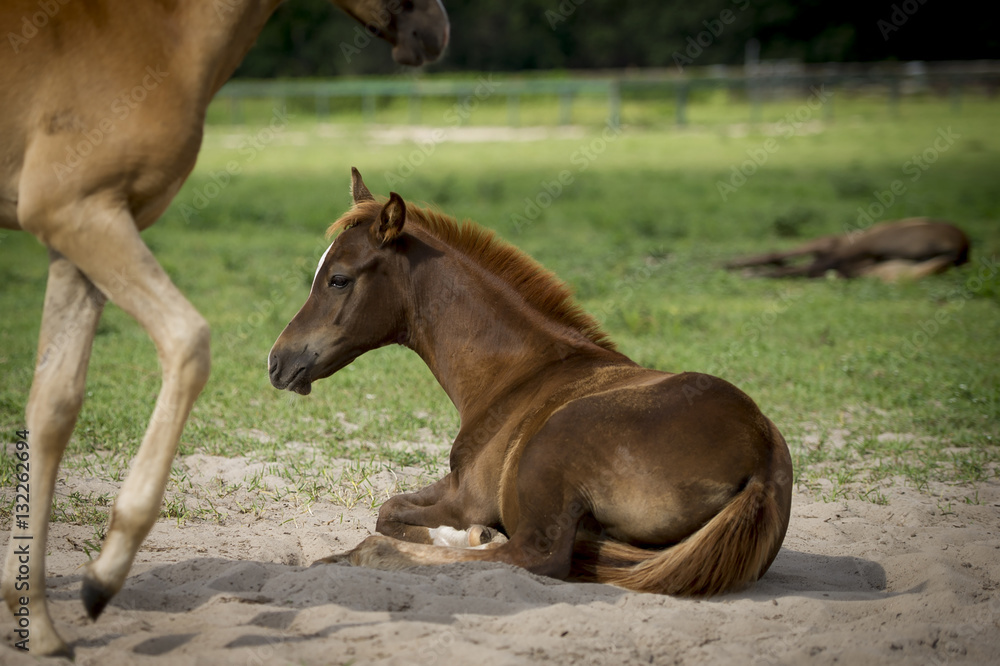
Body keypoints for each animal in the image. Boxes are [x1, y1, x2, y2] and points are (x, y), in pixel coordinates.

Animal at [1, 1, 448, 656]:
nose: (435, 32)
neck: (160, 36)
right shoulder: (77, 212)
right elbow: (188, 342)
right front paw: (102, 576)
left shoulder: (72, 233)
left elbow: (54, 403)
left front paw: (35, 616)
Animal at [268, 169, 793, 597]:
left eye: (338, 279)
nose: (276, 361)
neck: (519, 373)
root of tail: (761, 456)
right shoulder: (453, 481)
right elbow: (391, 505)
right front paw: (472, 533)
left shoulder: (467, 497)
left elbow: (390, 517)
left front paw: (463, 534)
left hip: (557, 442)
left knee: (532, 557)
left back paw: (375, 553)